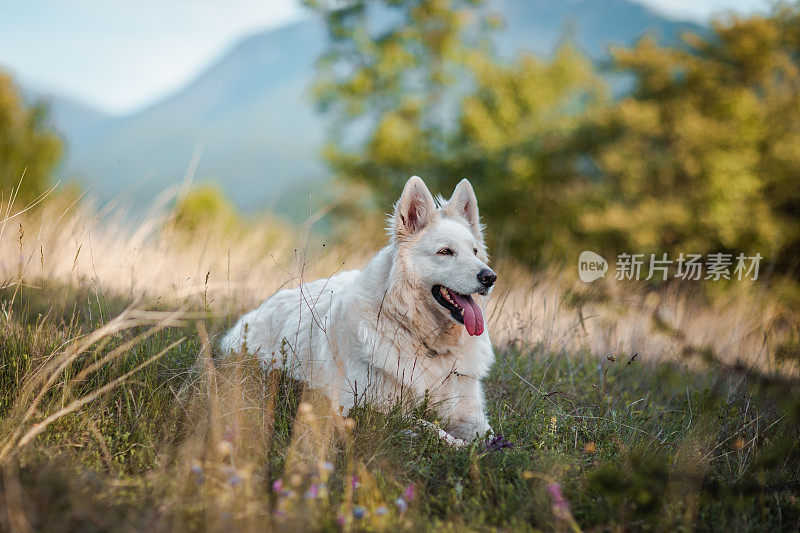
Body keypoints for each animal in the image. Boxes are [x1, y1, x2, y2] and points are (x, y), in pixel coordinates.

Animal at [219, 176, 494, 444]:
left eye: (475, 251)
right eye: (445, 251)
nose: (490, 277)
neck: (428, 345)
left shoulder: (470, 414)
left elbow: (490, 437)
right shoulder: (365, 412)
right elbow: (429, 427)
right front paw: (460, 445)